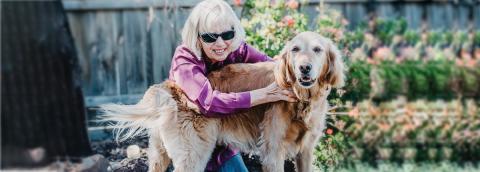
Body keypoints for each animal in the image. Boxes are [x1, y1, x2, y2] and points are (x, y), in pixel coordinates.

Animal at [102, 31, 344, 171]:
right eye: (295, 49)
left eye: (317, 49)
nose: (304, 68)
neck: (301, 100)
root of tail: (171, 86)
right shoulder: (273, 152)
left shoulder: (306, 151)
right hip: (192, 156)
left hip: (158, 156)